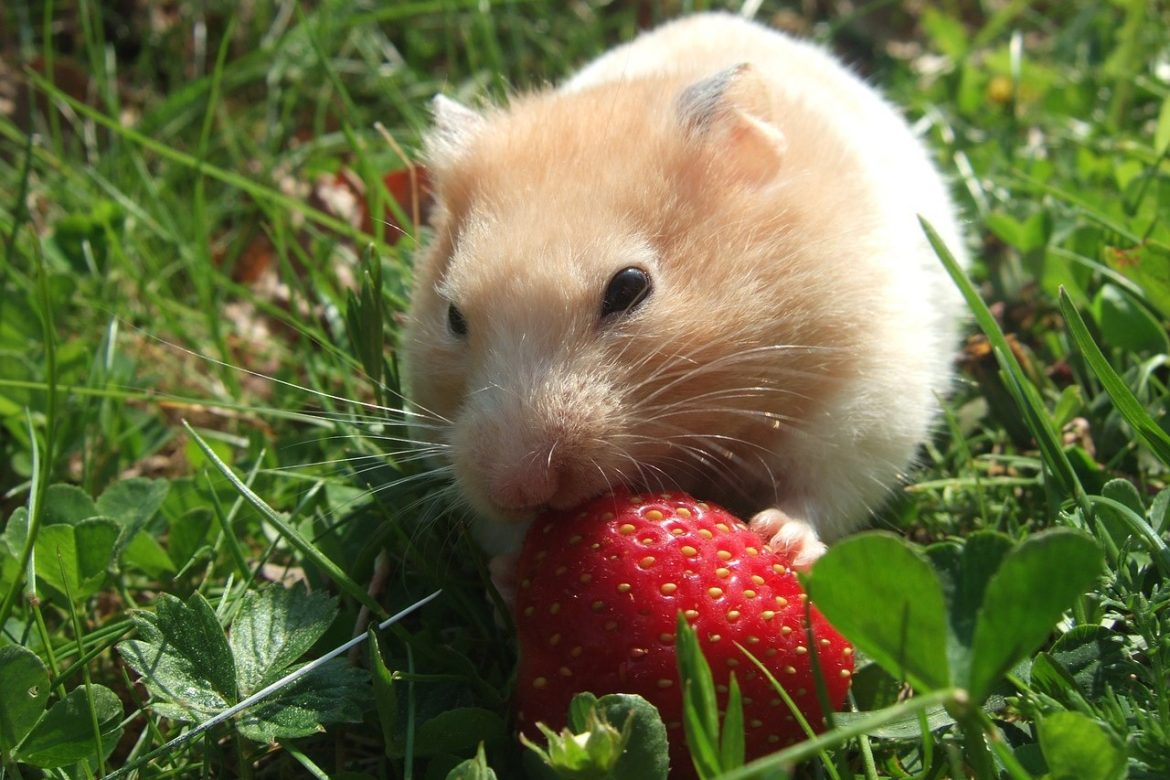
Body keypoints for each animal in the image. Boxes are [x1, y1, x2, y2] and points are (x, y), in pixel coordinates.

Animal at [403, 12, 969, 571]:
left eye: (629, 287)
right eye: (453, 316)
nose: (517, 489)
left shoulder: (867, 404)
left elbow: (819, 492)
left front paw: (778, 539)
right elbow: (503, 537)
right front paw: (510, 568)